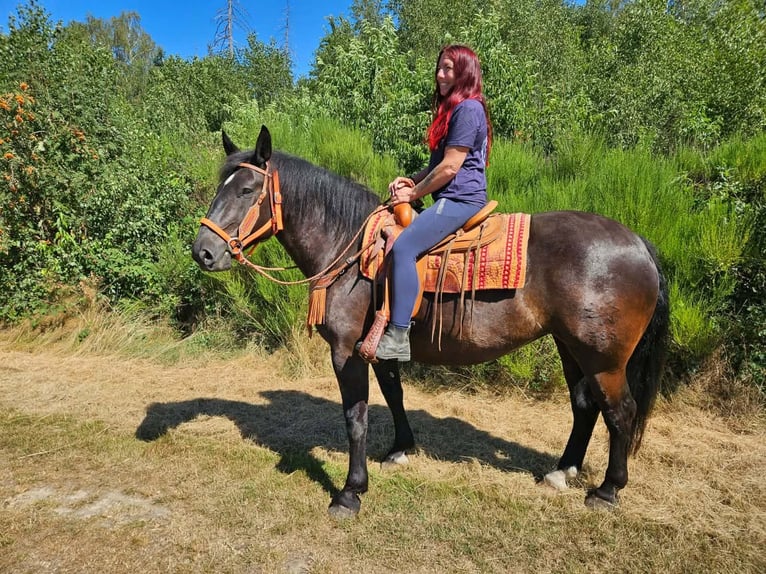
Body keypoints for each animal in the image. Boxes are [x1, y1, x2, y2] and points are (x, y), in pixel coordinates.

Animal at [192, 125, 670, 517]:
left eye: (247, 189)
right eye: (221, 186)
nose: (203, 252)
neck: (351, 249)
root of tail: (639, 244)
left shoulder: (347, 352)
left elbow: (356, 417)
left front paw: (350, 492)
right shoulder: (380, 346)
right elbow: (394, 394)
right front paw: (401, 449)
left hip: (604, 359)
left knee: (620, 412)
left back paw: (608, 489)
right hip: (571, 348)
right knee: (585, 406)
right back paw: (562, 470)